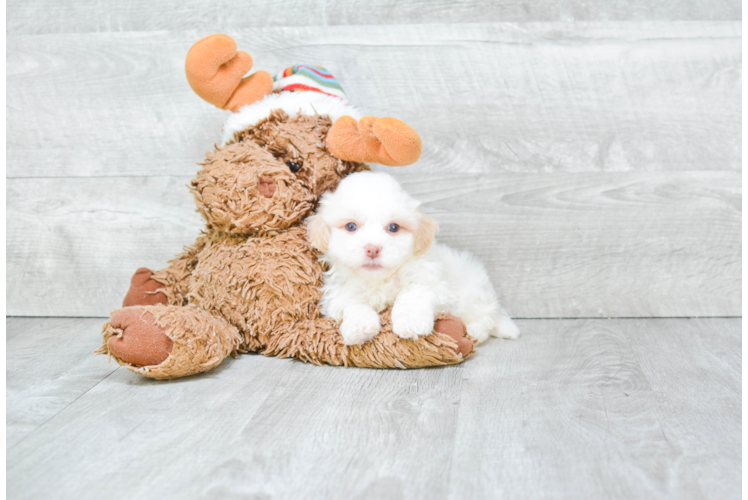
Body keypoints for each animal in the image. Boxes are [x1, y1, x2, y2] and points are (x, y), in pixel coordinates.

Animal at [306, 170, 520, 346]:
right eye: (351, 226)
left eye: (393, 227)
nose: (372, 249)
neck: (381, 280)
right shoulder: (341, 293)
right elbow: (354, 304)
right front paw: (360, 327)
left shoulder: (429, 280)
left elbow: (411, 294)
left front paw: (411, 323)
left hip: (475, 294)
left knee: (484, 321)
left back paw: (474, 332)